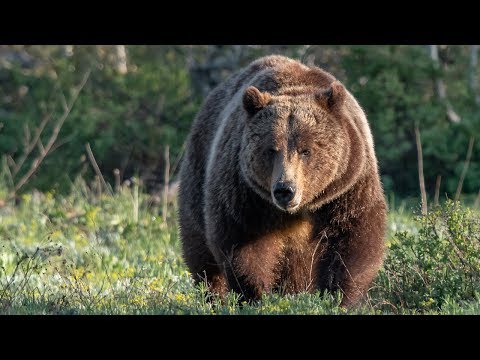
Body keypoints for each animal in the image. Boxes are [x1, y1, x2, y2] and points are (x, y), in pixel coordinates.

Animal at [177, 54, 386, 306]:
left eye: (306, 150)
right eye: (271, 150)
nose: (285, 189)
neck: (302, 209)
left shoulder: (348, 185)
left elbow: (354, 236)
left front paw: (338, 296)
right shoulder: (245, 192)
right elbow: (243, 241)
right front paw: (258, 295)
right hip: (198, 172)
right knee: (201, 253)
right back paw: (214, 296)